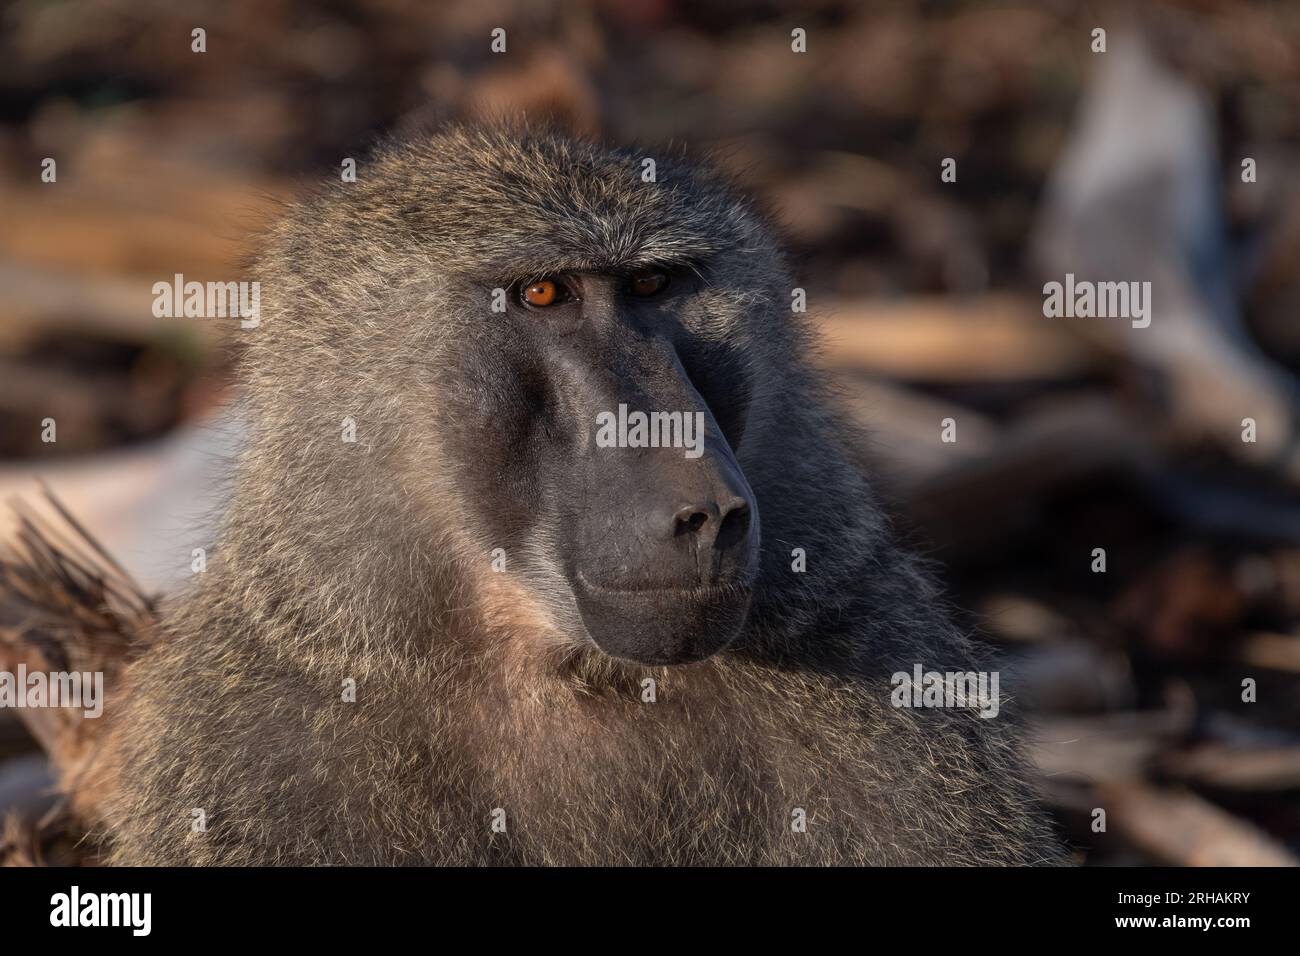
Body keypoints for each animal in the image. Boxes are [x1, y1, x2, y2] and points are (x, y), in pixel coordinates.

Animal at [87, 124, 1064, 865]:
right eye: (544, 293)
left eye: (652, 285)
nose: (707, 510)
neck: (559, 667)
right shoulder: (253, 743)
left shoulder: (879, 673)